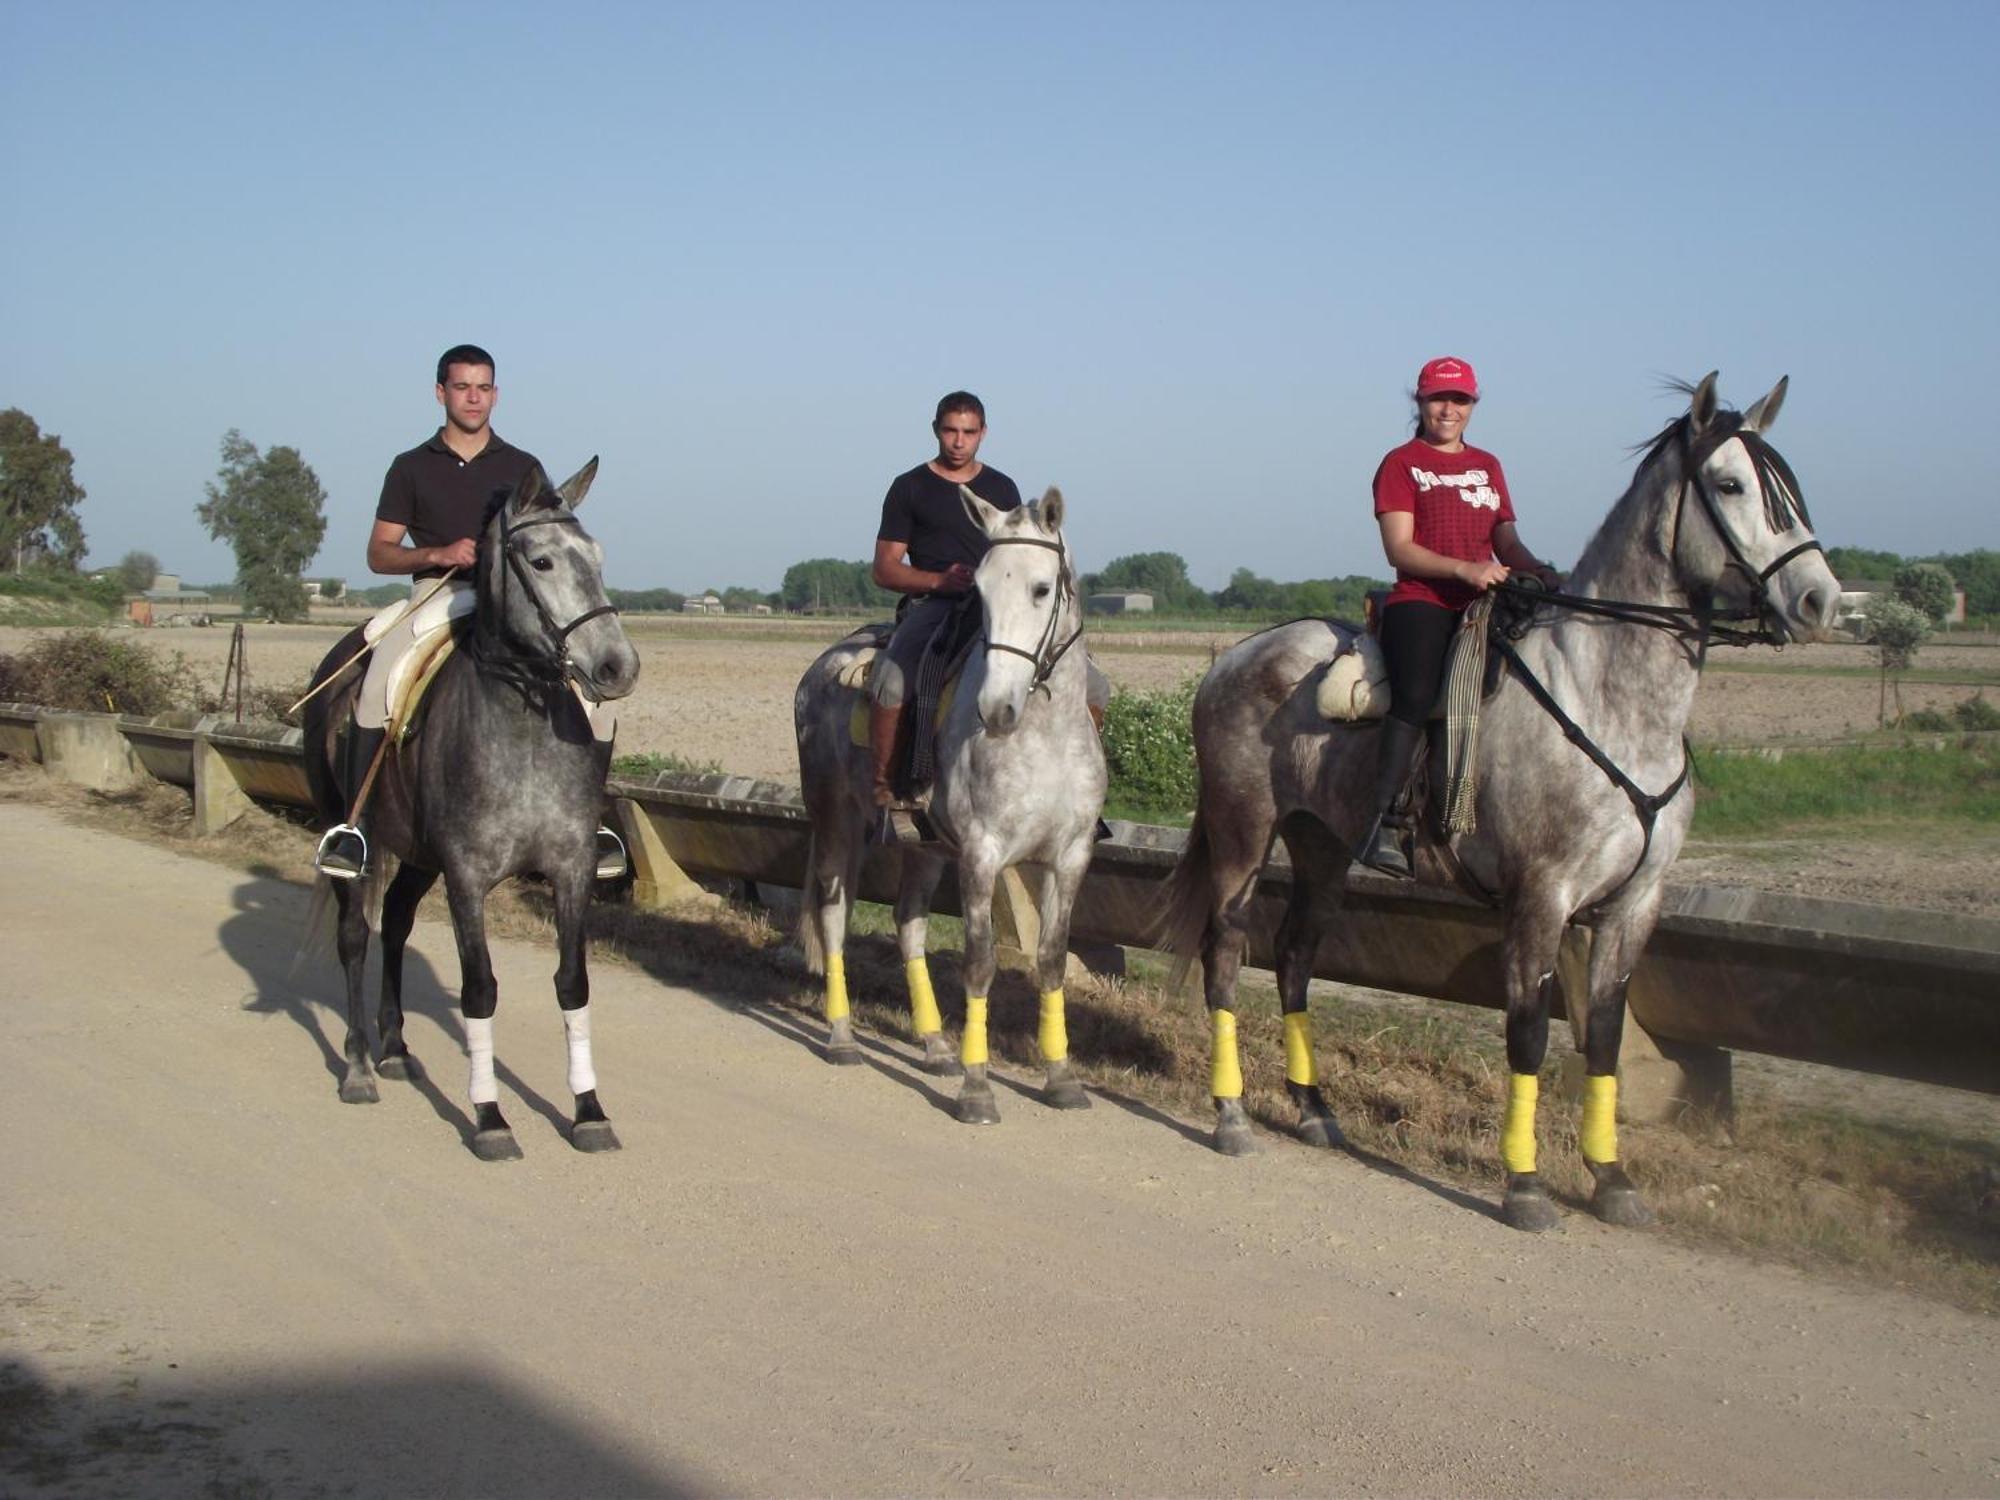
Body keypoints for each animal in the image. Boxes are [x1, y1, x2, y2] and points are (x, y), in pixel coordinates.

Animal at [300, 464, 640, 1168]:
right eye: (540, 561)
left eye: (596, 557)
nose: (618, 668)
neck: (523, 725)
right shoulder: (467, 876)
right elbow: (479, 989)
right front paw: (489, 1118)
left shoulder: (570, 870)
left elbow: (573, 983)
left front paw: (588, 1111)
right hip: (357, 840)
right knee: (355, 937)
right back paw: (358, 1068)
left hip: (418, 857)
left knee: (396, 924)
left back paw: (395, 1049)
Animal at [792, 488, 1112, 1120]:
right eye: (980, 591)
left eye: (1042, 589)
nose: (996, 709)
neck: (1043, 735)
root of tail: (823, 664)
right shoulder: (982, 855)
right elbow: (980, 963)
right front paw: (977, 1086)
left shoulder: (1068, 856)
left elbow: (1052, 960)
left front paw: (1061, 1077)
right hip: (836, 821)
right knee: (834, 919)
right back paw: (842, 1038)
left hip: (925, 848)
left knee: (908, 924)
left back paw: (935, 1044)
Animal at [1160, 376, 1840, 1232]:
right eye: (1729, 486)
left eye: (1790, 485)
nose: (1819, 600)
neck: (1609, 697)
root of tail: (1235, 659)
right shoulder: (1541, 897)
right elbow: (1526, 1034)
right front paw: (1525, 1187)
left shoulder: (1634, 905)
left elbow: (1605, 1037)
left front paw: (1612, 1180)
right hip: (1245, 834)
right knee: (1226, 950)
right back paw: (1232, 1115)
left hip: (1323, 847)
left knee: (1294, 955)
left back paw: (1314, 1111)